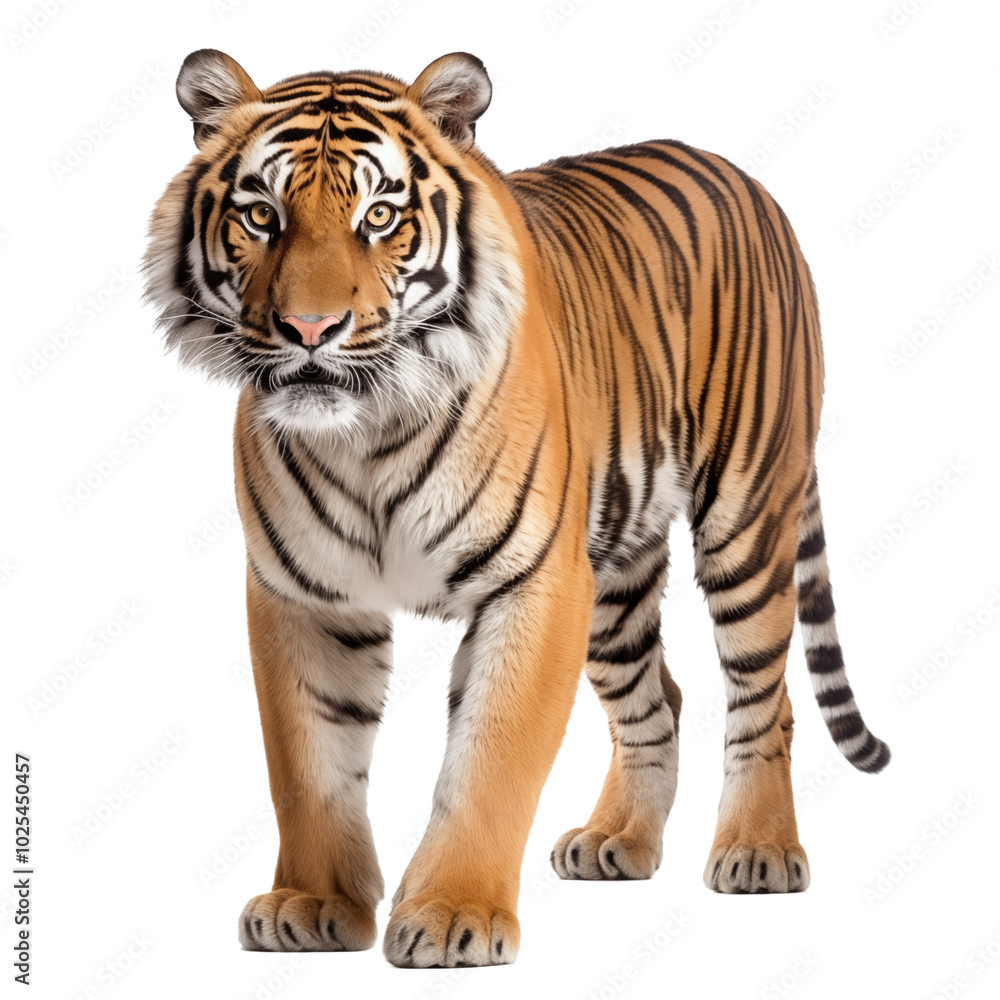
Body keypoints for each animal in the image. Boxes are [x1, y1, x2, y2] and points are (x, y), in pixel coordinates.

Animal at [144, 49, 891, 968]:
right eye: (260, 215)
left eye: (380, 216)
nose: (310, 329)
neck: (367, 432)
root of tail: (742, 174)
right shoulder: (304, 596)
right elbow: (309, 764)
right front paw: (312, 904)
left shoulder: (535, 583)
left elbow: (491, 759)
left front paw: (453, 915)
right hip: (614, 577)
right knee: (659, 698)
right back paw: (619, 842)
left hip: (745, 517)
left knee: (763, 693)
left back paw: (758, 850)